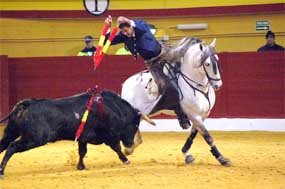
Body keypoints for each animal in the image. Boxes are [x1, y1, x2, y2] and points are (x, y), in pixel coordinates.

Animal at [0, 90, 153, 176]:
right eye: (136, 124)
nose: (130, 145)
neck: (114, 109)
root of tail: (24, 104)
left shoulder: (83, 138)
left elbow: (82, 152)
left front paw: (80, 167)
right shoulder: (110, 136)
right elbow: (116, 148)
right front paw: (126, 160)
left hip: (11, 131)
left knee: (4, 145)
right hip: (34, 138)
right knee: (12, 147)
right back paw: (2, 171)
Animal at [121, 37, 230, 167]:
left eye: (217, 60)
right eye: (207, 64)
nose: (218, 85)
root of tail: (125, 84)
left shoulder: (203, 115)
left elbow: (193, 134)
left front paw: (187, 154)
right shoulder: (194, 115)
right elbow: (208, 136)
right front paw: (222, 158)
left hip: (143, 113)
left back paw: (130, 148)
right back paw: (128, 149)